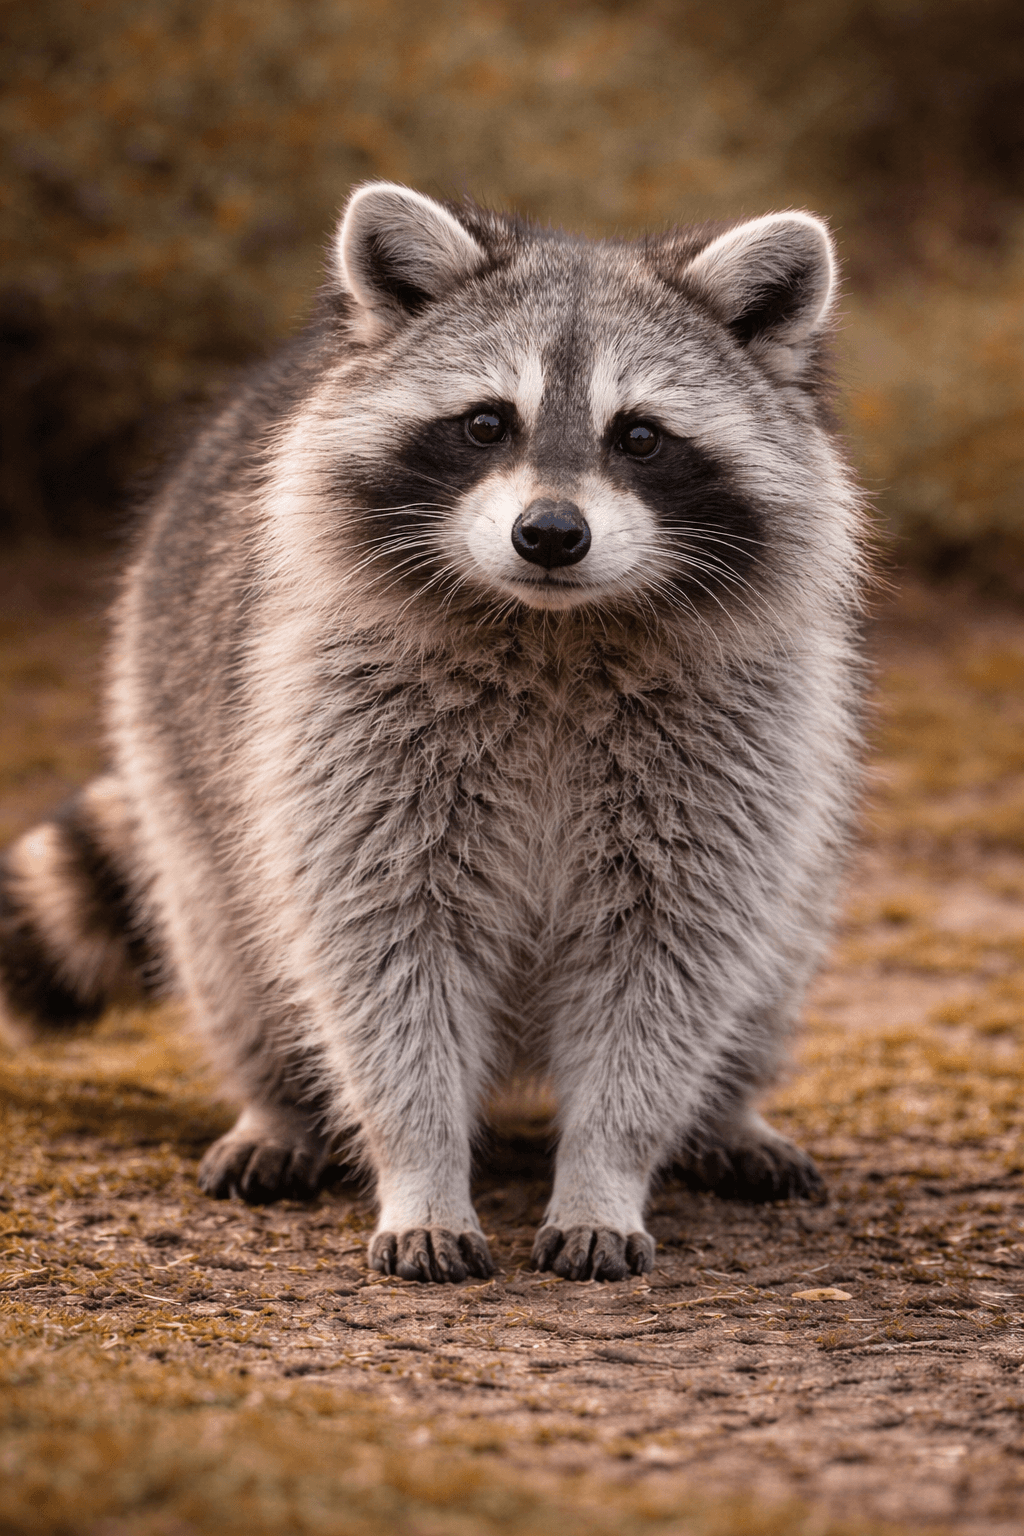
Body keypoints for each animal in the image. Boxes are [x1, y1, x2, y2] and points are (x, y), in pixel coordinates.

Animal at [0, 183, 865, 1282]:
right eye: (486, 423)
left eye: (640, 437)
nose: (550, 535)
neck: (553, 628)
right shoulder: (345, 726)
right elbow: (381, 956)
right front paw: (418, 1166)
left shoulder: (732, 741)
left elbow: (667, 962)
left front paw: (607, 1169)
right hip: (180, 750)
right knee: (234, 952)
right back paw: (277, 1103)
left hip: (793, 834)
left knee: (766, 964)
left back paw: (727, 1111)